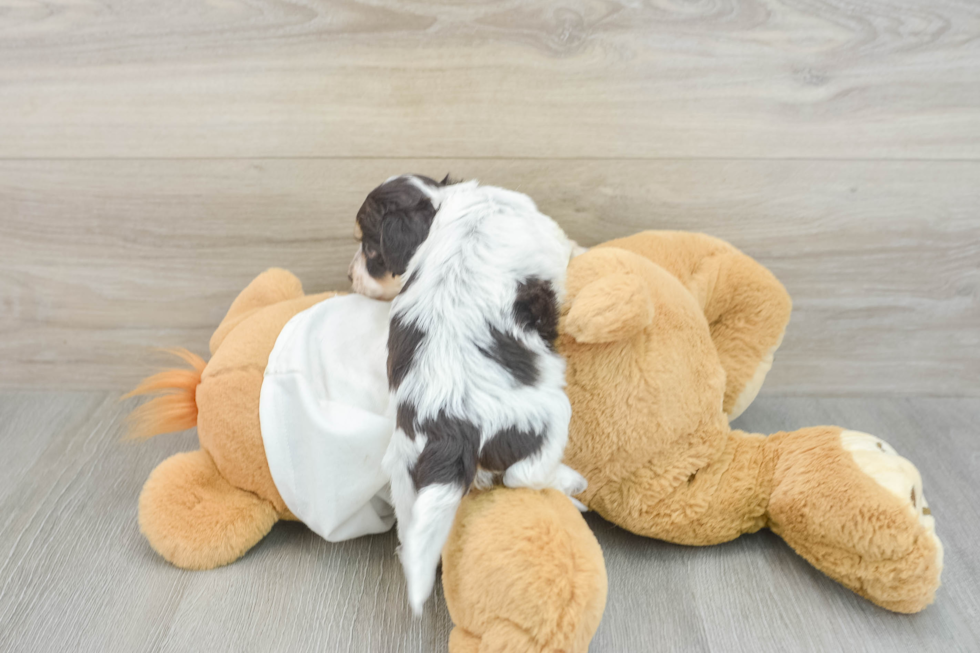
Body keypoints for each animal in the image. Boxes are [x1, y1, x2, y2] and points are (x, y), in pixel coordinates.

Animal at [350, 173, 584, 612]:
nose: (348, 277)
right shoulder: (548, 231)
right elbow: (569, 244)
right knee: (523, 475)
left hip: (407, 475)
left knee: (414, 535)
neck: (443, 200)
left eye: (370, 249)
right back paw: (570, 484)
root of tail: (450, 426)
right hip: (549, 416)